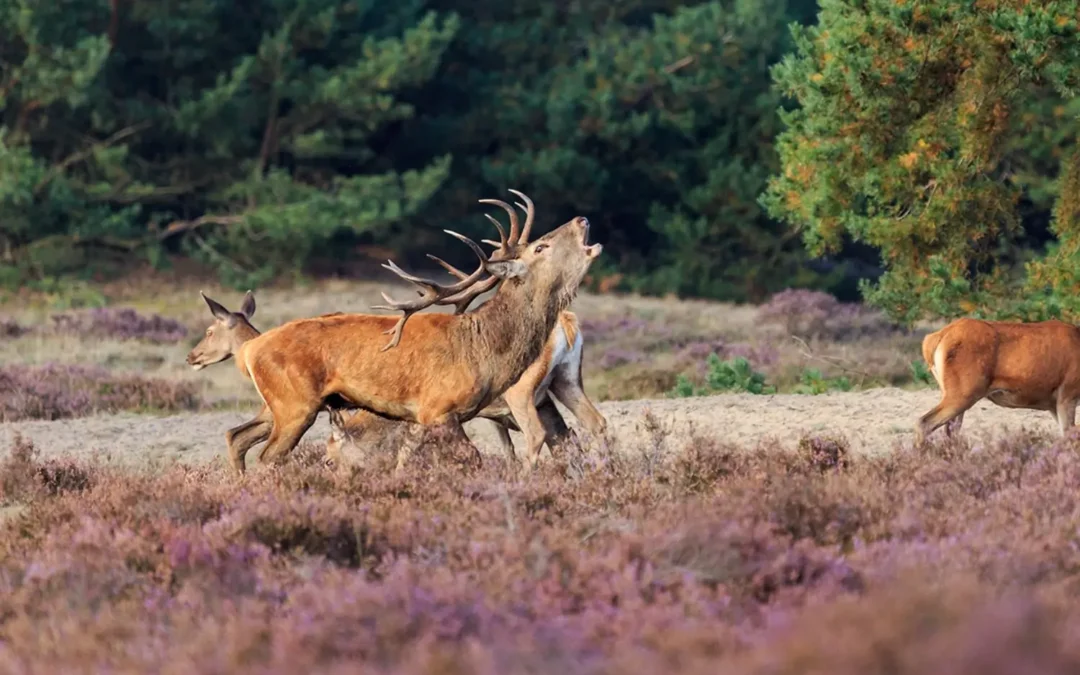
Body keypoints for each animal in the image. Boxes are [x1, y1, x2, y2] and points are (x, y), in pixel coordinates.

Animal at [189, 187, 604, 473]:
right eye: (540, 247)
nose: (582, 219)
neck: (484, 351)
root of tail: (251, 350)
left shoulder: (423, 419)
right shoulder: (438, 409)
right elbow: (472, 458)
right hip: (293, 404)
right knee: (267, 455)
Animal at [915, 317, 1080, 444]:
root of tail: (933, 339)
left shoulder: (1053, 403)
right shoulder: (1068, 393)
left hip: (951, 391)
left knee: (950, 430)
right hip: (963, 391)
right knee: (925, 422)